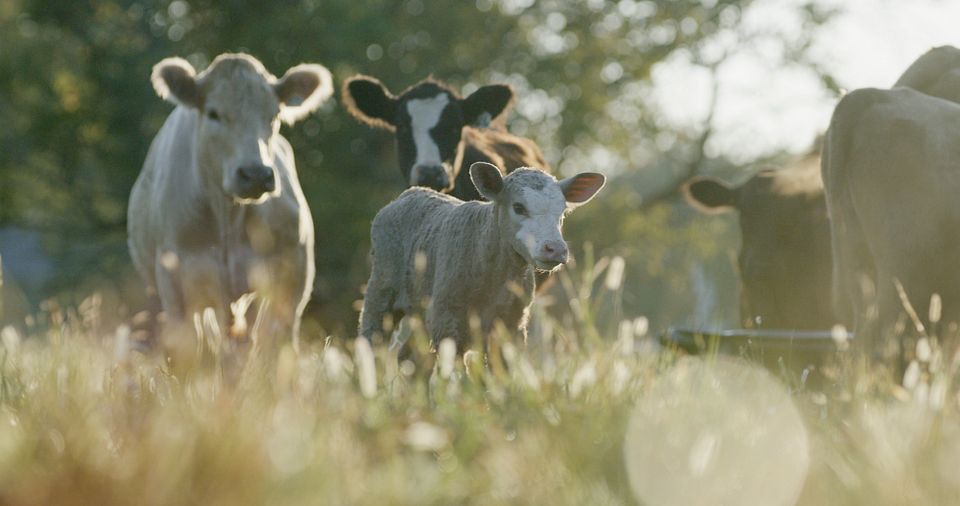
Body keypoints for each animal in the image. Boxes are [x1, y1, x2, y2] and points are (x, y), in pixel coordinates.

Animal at [127, 53, 333, 357]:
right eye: (213, 113)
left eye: (274, 115)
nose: (256, 174)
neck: (229, 216)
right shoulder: (177, 285)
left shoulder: (292, 274)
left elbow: (275, 345)